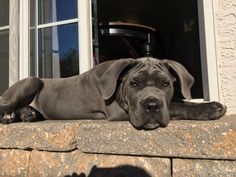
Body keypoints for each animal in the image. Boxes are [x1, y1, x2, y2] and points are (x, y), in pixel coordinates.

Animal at [0, 57, 226, 129]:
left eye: (165, 84)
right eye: (134, 83)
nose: (152, 106)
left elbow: (175, 101)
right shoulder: (118, 110)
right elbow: (175, 105)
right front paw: (211, 108)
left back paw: (27, 114)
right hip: (32, 80)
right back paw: (10, 116)